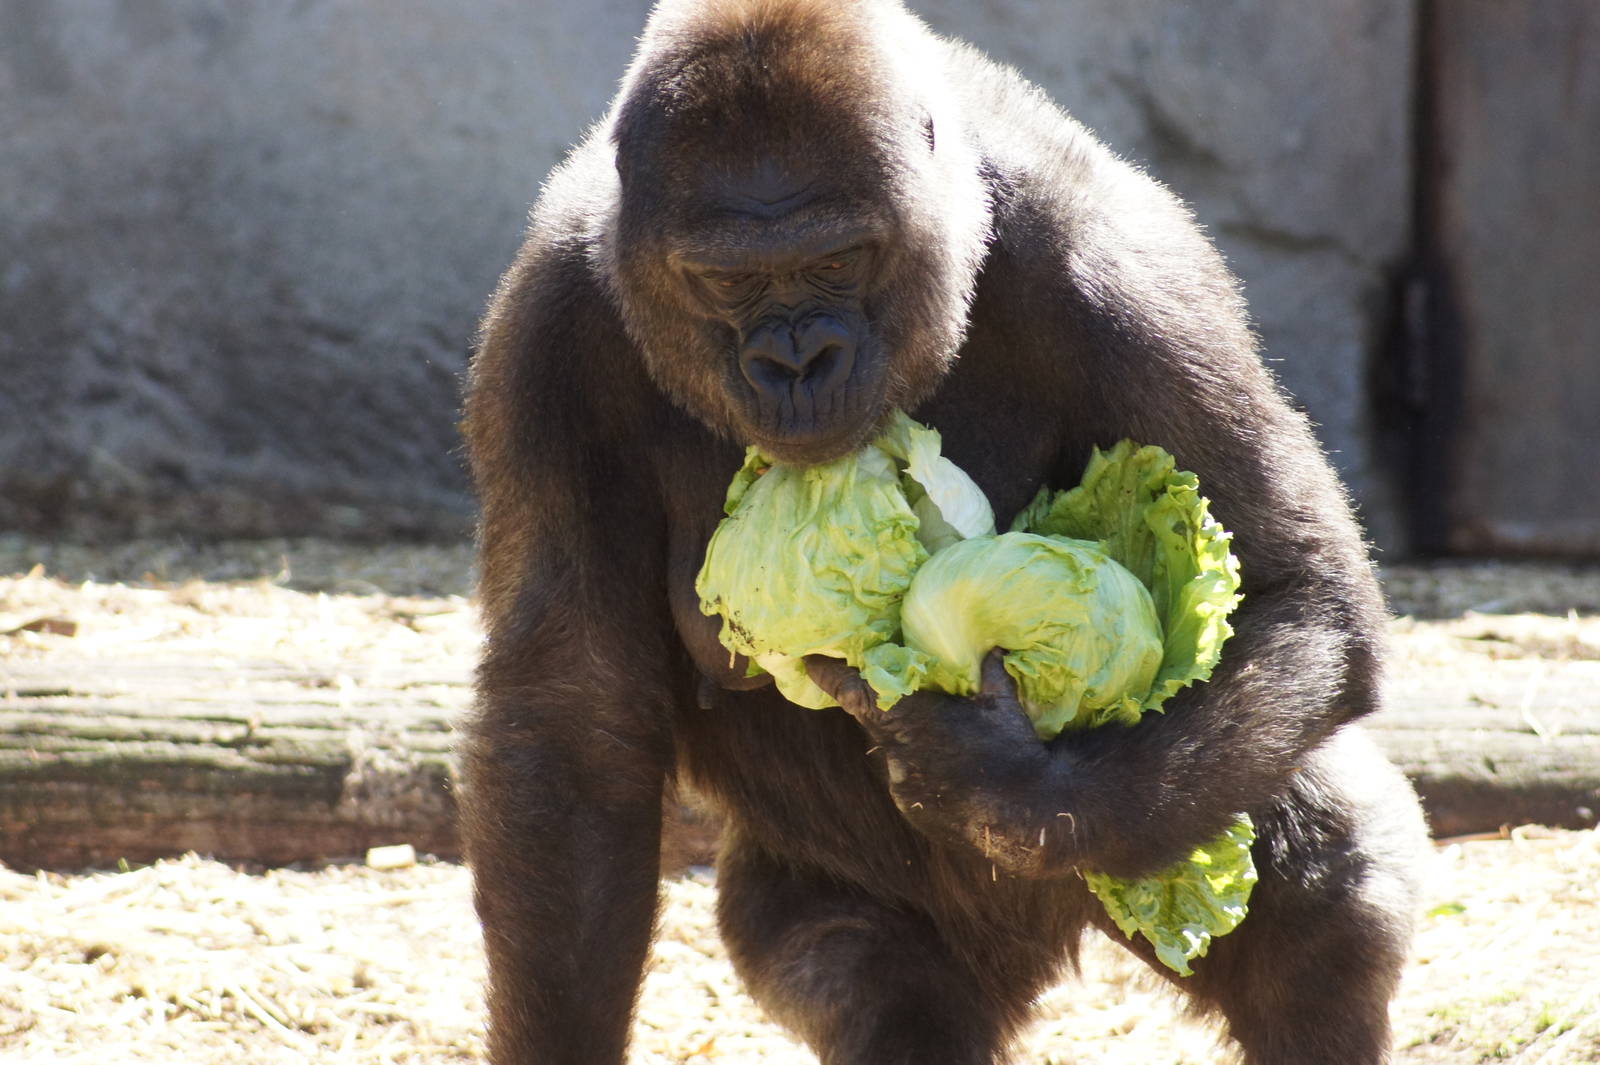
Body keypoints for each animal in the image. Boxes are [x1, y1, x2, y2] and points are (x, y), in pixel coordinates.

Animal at [459, 2, 1429, 1063]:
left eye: (837, 260)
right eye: (726, 280)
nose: (796, 362)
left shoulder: (1115, 264)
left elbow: (1300, 588)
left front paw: (1011, 788)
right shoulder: (546, 331)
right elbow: (574, 734)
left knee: (1323, 894)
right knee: (878, 985)